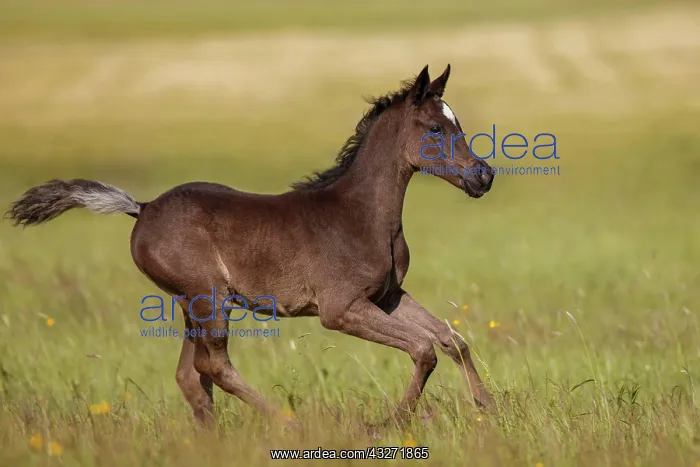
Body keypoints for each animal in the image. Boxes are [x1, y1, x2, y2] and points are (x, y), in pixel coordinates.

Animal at [6, 64, 495, 427]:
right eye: (435, 127)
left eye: (458, 123)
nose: (483, 176)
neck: (361, 215)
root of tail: (141, 208)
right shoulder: (341, 309)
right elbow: (423, 349)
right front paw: (387, 423)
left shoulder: (388, 297)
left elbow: (451, 339)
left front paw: (488, 407)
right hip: (208, 297)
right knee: (212, 367)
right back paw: (288, 423)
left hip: (190, 303)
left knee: (190, 376)